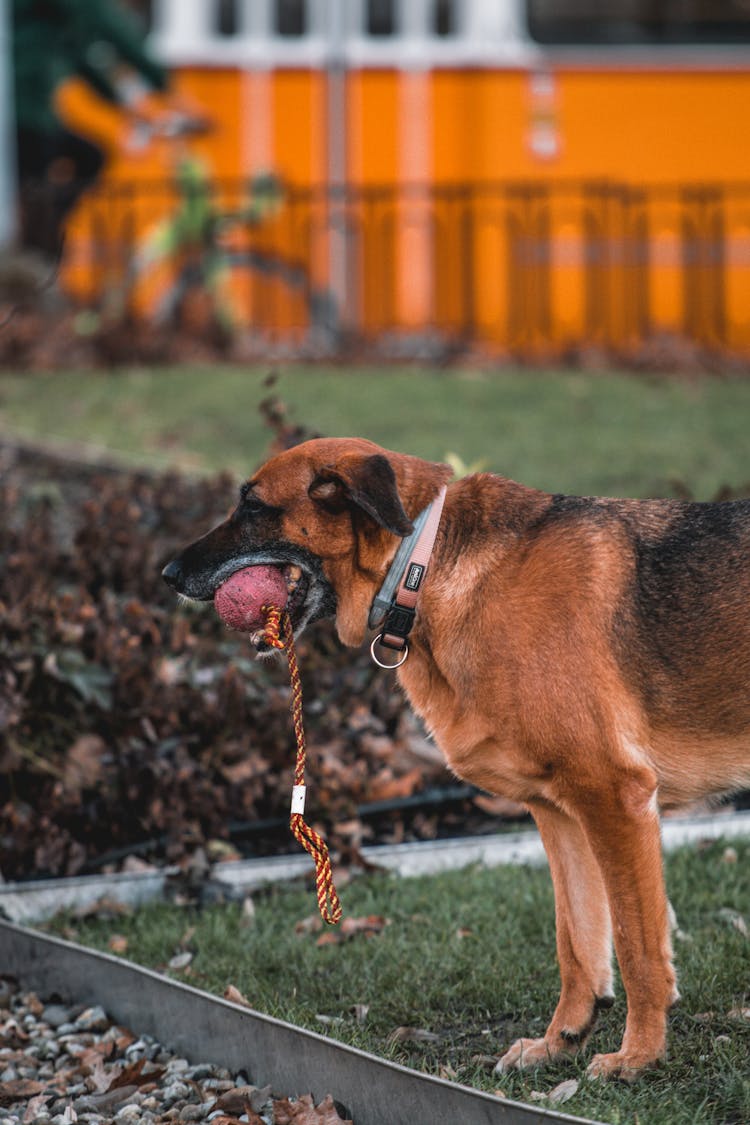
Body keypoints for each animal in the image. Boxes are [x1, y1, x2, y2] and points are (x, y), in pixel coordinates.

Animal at [164, 436, 750, 1080]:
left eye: (252, 507)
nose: (166, 575)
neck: (423, 565)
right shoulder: (562, 814)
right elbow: (575, 940)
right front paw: (561, 1040)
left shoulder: (615, 800)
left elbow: (636, 943)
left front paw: (638, 1054)